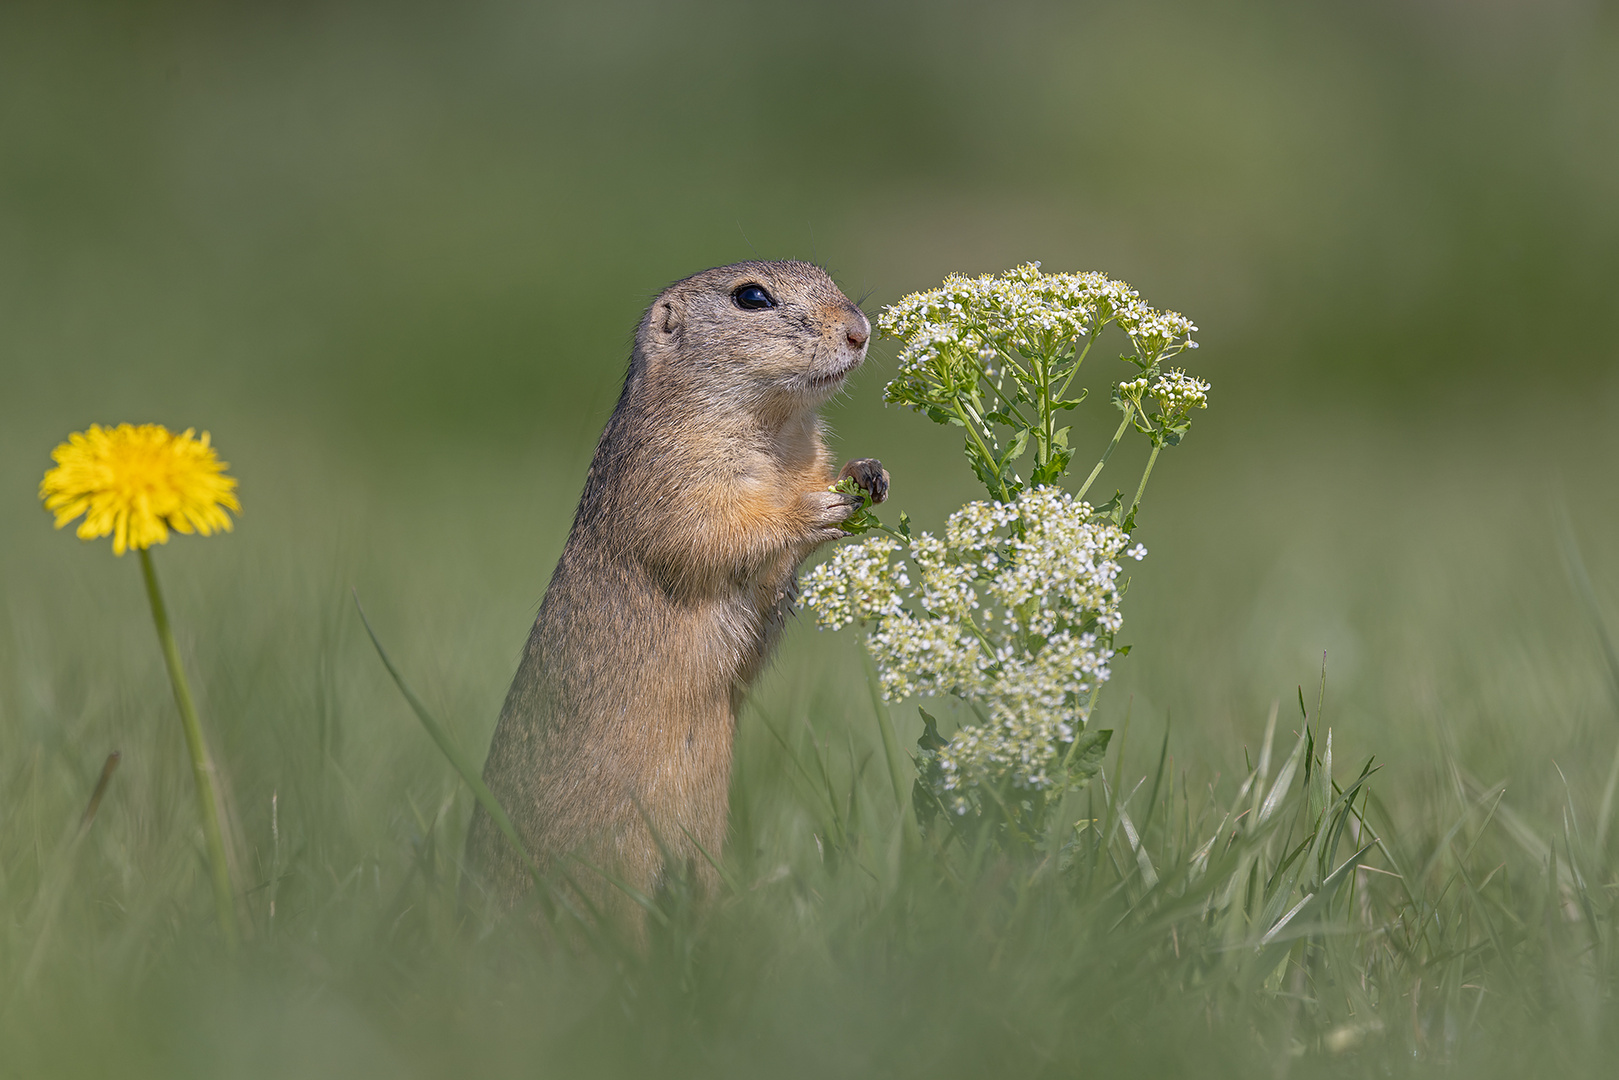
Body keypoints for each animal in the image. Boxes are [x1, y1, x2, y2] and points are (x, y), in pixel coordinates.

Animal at [469, 259, 893, 919]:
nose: (859, 331)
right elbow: (714, 532)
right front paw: (818, 507)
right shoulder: (673, 473)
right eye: (752, 297)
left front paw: (868, 474)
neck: (778, 427)